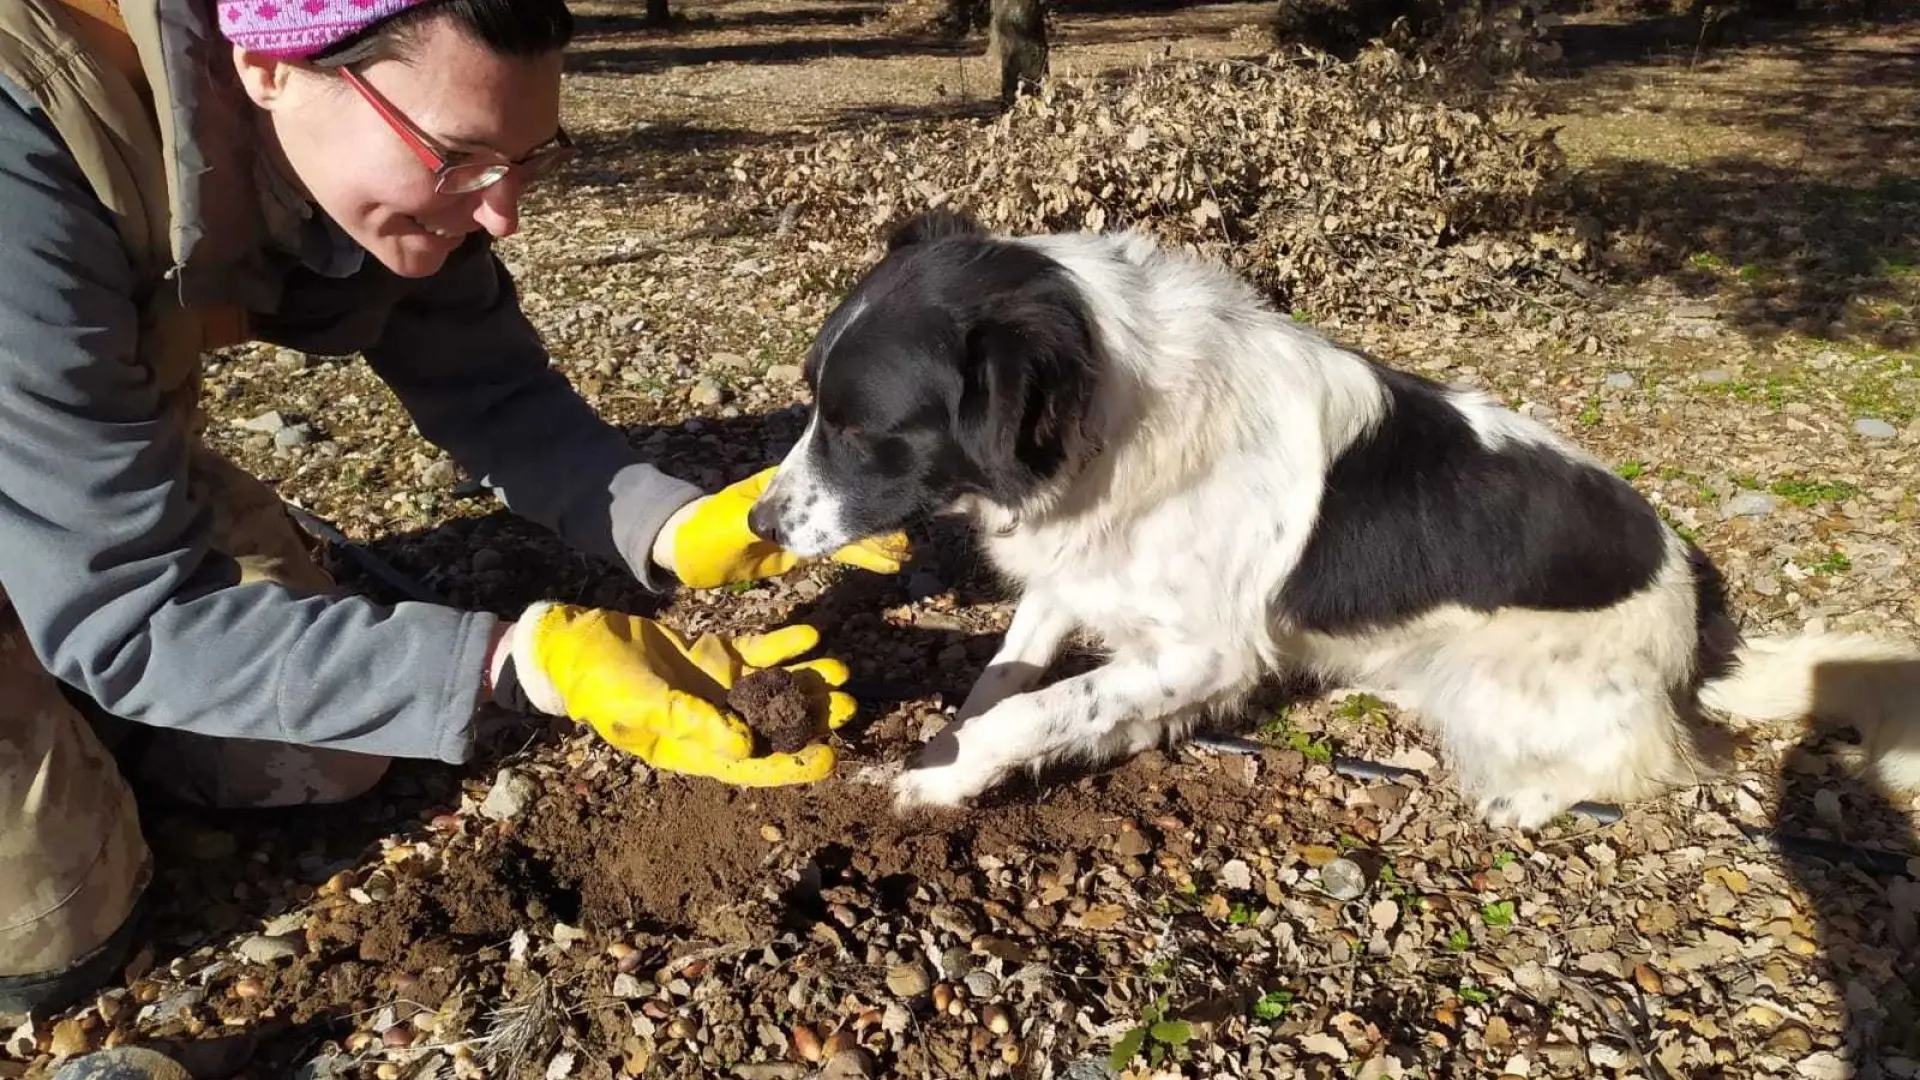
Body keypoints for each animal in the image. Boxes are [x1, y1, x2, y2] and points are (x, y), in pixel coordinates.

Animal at [744, 208, 1920, 822]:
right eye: (813, 403)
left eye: (860, 428)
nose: (757, 527)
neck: (1116, 422)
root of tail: (1697, 622)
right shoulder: (1077, 579)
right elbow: (1007, 676)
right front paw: (954, 753)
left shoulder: (1207, 650)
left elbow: (1034, 707)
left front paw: (950, 775)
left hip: (1518, 692)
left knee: (1646, 761)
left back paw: (1527, 799)